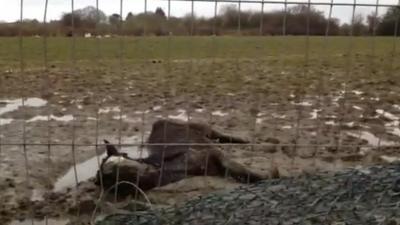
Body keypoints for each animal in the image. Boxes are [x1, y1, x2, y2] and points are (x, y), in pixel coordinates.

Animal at [96, 119, 266, 193]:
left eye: (110, 170)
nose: (97, 180)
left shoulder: (213, 153)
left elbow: (244, 170)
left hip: (200, 126)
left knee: (219, 134)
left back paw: (245, 140)